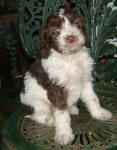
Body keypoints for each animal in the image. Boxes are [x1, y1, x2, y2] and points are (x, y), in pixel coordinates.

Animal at [20, 9, 112, 145]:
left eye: (76, 25)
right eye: (56, 30)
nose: (71, 38)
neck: (70, 57)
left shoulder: (85, 81)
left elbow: (92, 99)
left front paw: (99, 113)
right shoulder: (56, 88)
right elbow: (61, 113)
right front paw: (64, 134)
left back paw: (72, 108)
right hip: (38, 103)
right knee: (39, 116)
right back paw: (51, 120)